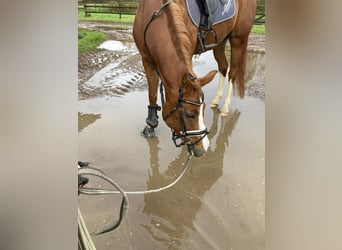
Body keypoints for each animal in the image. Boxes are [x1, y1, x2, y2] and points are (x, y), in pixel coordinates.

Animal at [134, 0, 256, 156]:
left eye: (202, 110)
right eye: (190, 115)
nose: (203, 148)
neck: (154, 14)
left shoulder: (189, 51)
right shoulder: (146, 58)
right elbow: (152, 94)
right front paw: (150, 126)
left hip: (238, 39)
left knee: (232, 74)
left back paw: (225, 107)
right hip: (220, 41)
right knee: (223, 67)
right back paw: (216, 101)